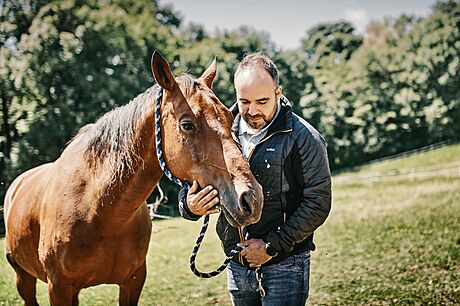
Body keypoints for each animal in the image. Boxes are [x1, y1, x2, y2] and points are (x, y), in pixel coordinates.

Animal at [2, 51, 262, 304]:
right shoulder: (59, 288)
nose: (251, 198)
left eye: (229, 117)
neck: (98, 209)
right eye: (187, 125)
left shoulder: (134, 281)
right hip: (23, 278)